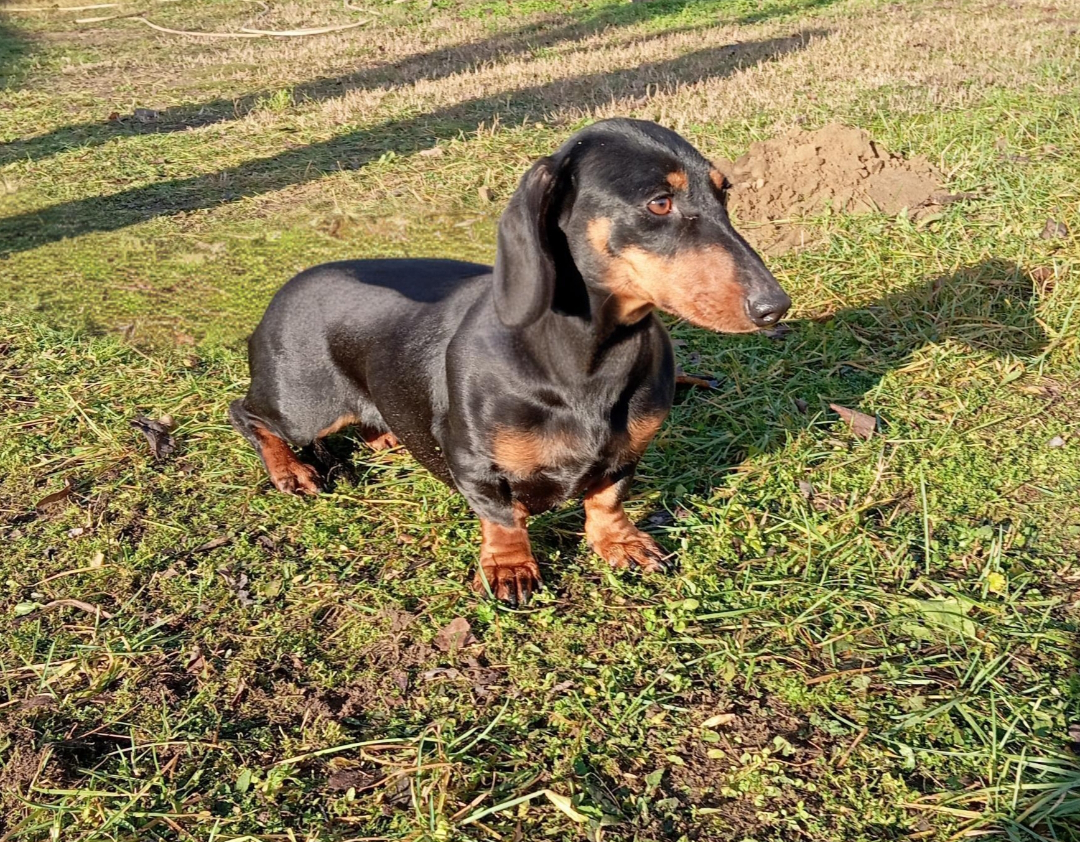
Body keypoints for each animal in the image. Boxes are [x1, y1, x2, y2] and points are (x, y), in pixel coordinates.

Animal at [230, 118, 790, 604]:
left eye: (724, 193)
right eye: (659, 202)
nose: (774, 307)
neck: (588, 363)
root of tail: (282, 295)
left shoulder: (628, 453)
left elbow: (607, 499)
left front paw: (620, 542)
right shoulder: (474, 463)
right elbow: (502, 517)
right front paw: (510, 566)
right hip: (303, 410)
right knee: (247, 414)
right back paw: (290, 470)